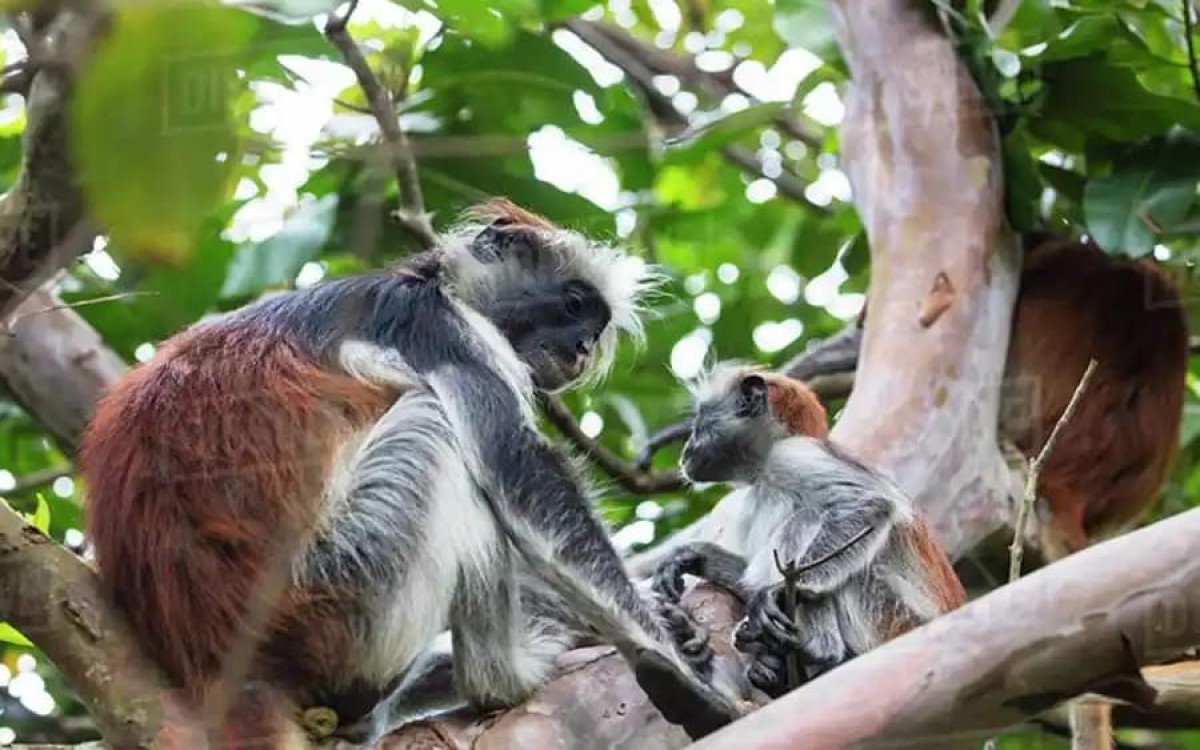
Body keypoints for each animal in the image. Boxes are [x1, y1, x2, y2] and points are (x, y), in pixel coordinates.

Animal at [80, 198, 738, 748]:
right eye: (574, 304)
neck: (431, 282)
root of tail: (212, 656)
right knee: (436, 426)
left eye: (595, 329)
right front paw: (673, 660)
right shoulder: (438, 327)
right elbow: (519, 472)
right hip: (340, 592)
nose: (579, 349)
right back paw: (504, 676)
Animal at [647, 363, 966, 697]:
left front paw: (780, 591)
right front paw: (694, 557)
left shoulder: (792, 455)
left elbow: (869, 504)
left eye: (699, 423)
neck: (764, 472)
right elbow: (748, 580)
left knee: (807, 520)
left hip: (889, 616)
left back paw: (816, 650)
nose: (686, 450)